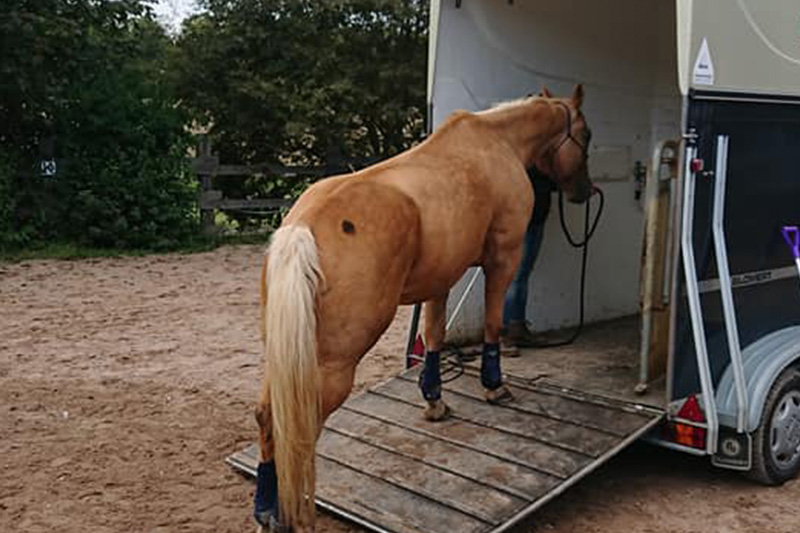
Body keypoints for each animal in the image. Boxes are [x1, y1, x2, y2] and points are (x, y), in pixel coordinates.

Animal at [256, 84, 592, 528]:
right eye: (586, 135)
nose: (584, 192)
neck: (497, 142)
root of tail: (302, 228)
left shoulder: (441, 276)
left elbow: (433, 334)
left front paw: (434, 400)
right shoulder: (503, 260)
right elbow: (492, 324)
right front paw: (494, 385)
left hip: (286, 353)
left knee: (268, 417)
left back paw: (264, 509)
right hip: (329, 366)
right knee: (296, 434)